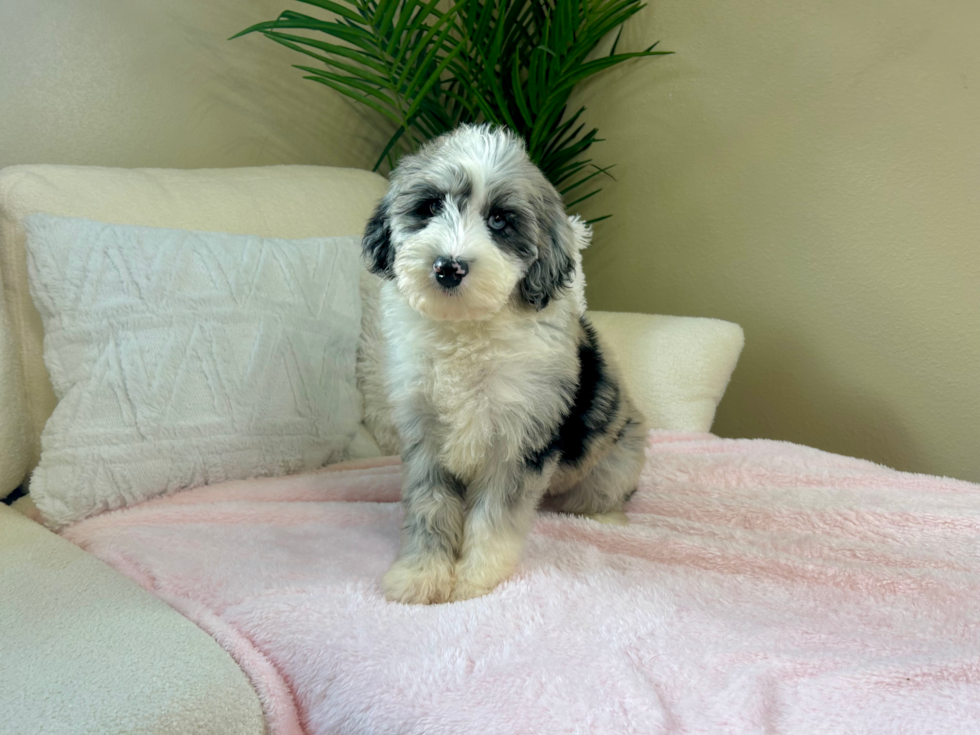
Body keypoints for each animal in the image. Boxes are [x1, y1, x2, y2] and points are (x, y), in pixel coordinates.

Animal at [364, 123, 648, 604]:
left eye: (499, 220)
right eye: (429, 207)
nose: (449, 267)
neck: (467, 329)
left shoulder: (518, 439)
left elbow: (495, 518)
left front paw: (476, 579)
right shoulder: (425, 434)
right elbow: (428, 507)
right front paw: (420, 574)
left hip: (615, 458)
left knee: (604, 492)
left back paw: (607, 518)